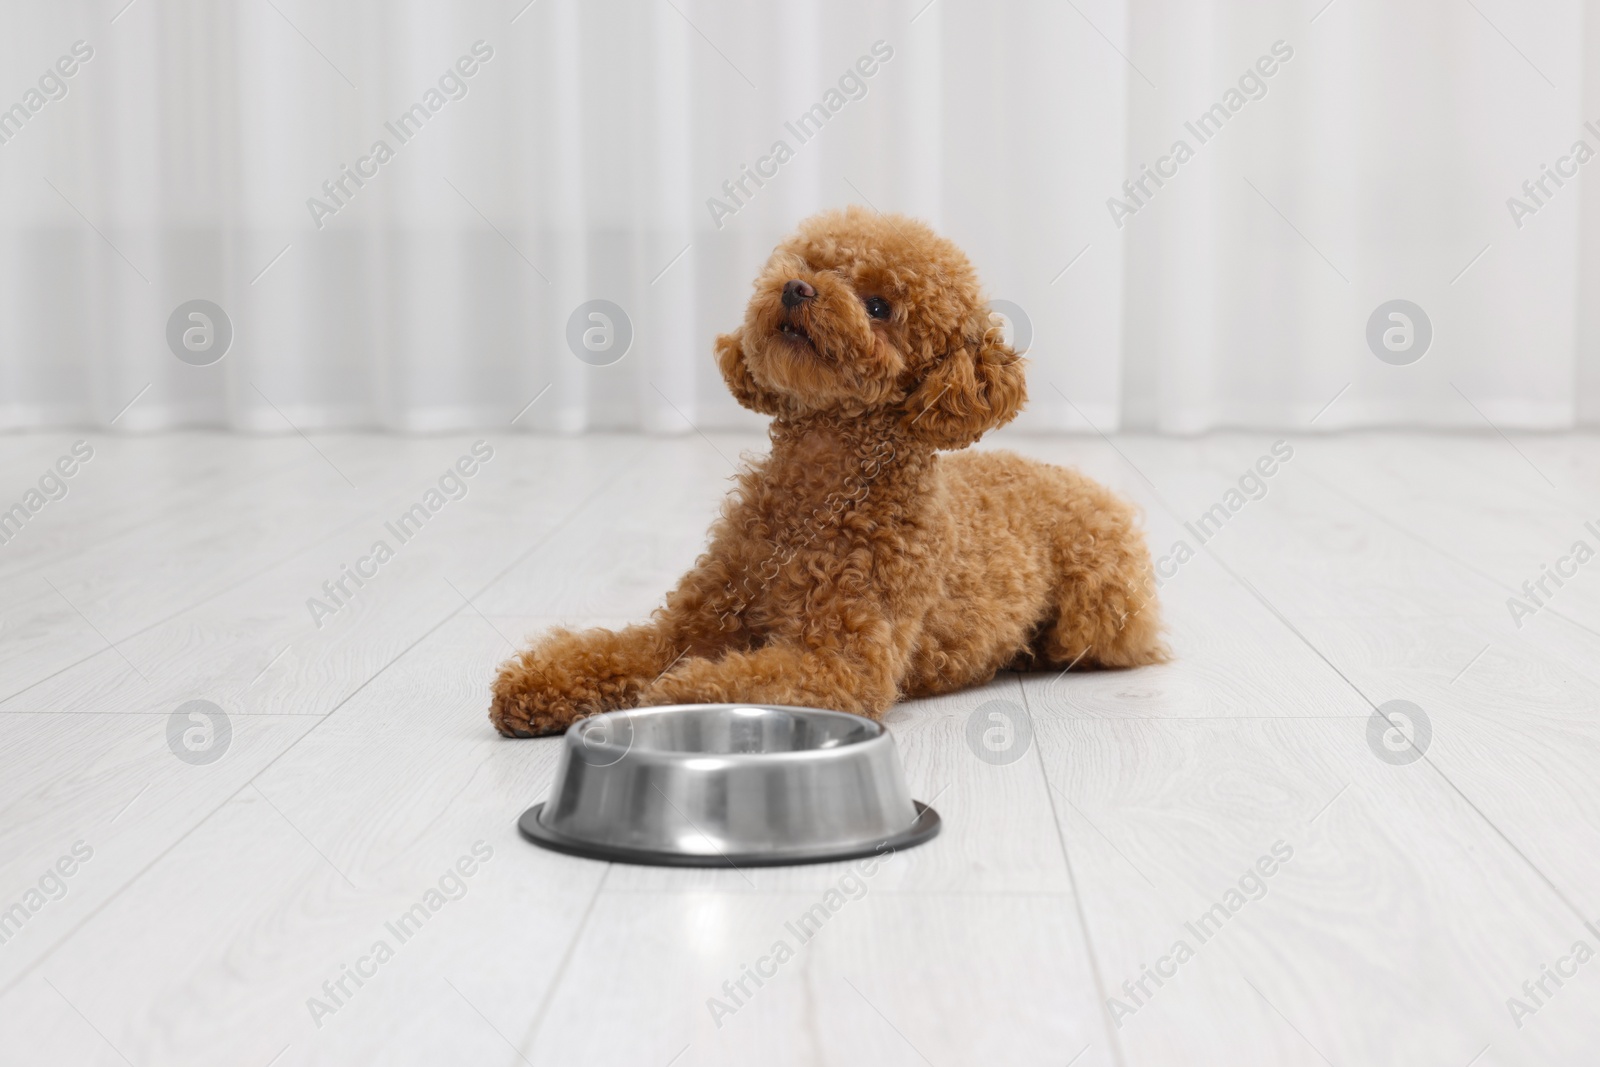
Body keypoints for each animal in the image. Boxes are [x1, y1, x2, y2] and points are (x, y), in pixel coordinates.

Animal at [486, 207, 1164, 742]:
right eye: (811, 265)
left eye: (879, 305)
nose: (795, 289)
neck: (816, 492)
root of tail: (1083, 482)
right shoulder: (689, 625)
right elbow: (613, 649)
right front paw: (537, 682)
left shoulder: (842, 664)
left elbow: (745, 680)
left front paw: (673, 701)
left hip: (1098, 614)